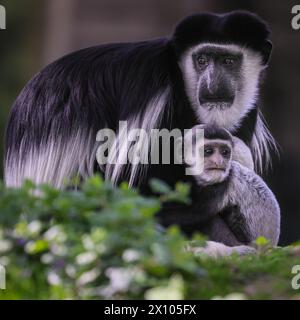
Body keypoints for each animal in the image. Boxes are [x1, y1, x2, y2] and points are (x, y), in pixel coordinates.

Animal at [4, 11, 276, 220]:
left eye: (229, 61)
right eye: (202, 59)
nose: (212, 84)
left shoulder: (248, 110)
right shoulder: (156, 101)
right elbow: (132, 193)